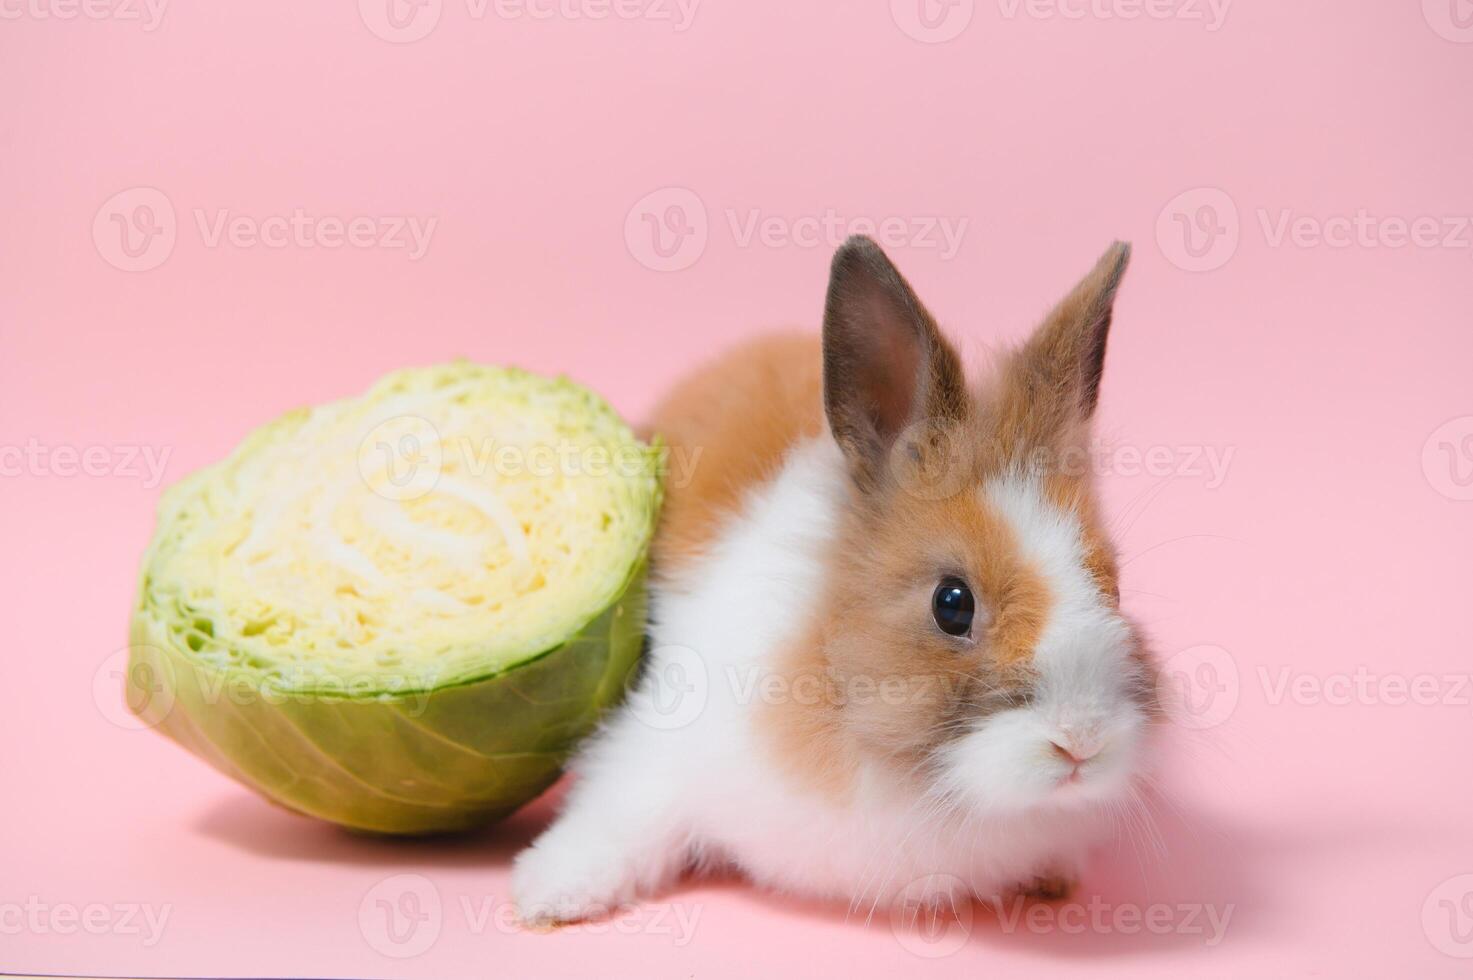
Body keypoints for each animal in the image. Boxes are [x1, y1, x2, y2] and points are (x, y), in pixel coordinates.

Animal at [518, 232, 1160, 919]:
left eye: (1114, 584)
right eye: (952, 603)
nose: (1082, 742)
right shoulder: (659, 743)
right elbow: (627, 809)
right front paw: (548, 892)